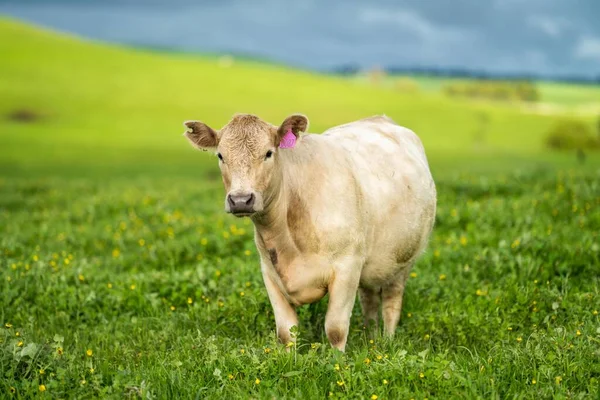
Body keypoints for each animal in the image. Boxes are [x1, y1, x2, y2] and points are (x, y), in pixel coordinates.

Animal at [183, 112, 436, 350]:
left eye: (268, 153)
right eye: (221, 156)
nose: (240, 200)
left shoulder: (347, 266)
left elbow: (336, 329)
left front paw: (337, 363)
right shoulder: (269, 272)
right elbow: (286, 332)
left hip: (404, 260)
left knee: (392, 304)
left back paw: (387, 342)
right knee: (370, 300)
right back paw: (370, 339)